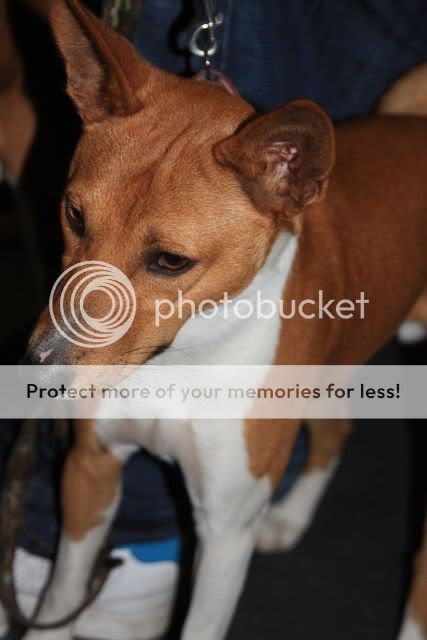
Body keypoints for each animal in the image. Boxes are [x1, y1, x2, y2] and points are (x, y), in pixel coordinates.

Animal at [3, 1, 427, 639]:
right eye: (74, 215)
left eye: (170, 261)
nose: (39, 371)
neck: (180, 363)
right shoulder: (90, 469)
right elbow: (58, 599)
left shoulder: (224, 534)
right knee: (336, 428)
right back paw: (291, 519)